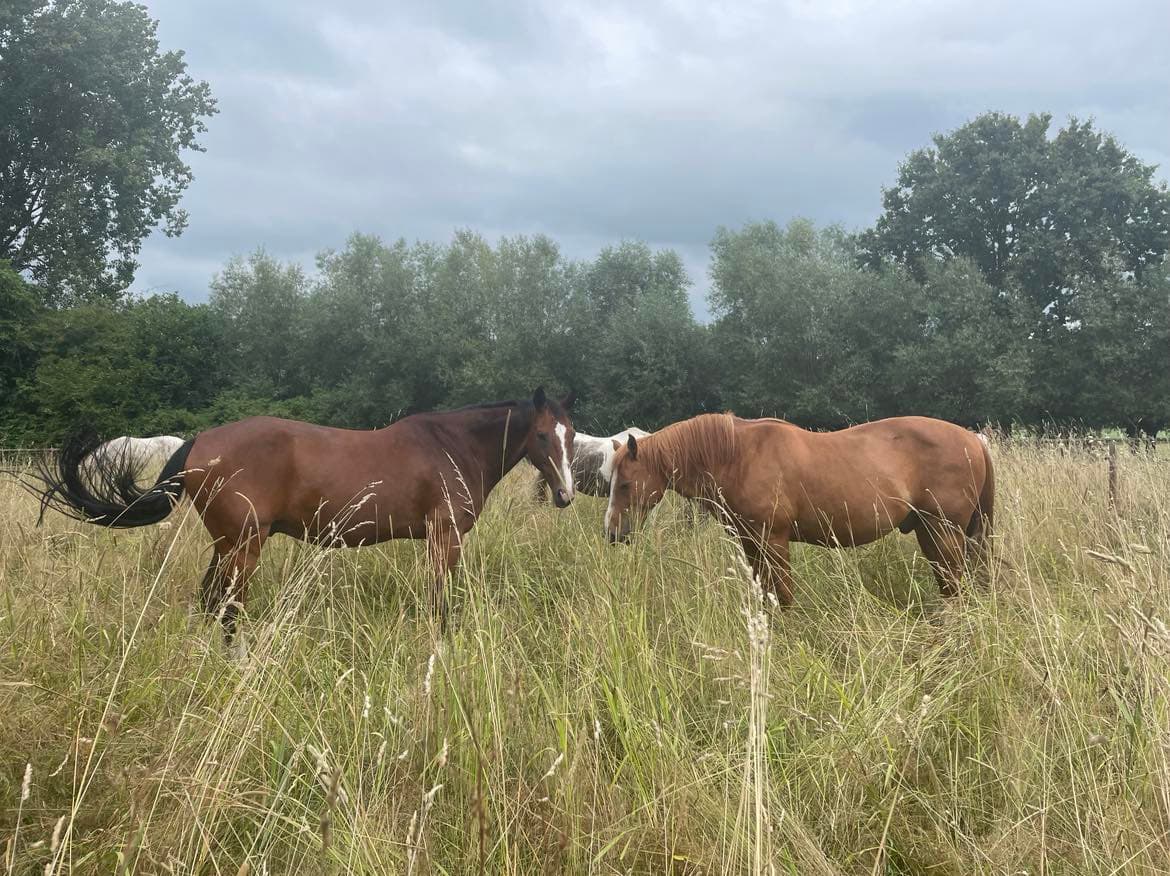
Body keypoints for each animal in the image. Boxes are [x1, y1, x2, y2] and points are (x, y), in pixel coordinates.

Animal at [29, 388, 576, 640]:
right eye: (542, 435)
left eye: (573, 435)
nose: (566, 495)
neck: (450, 446)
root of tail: (200, 443)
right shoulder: (445, 539)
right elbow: (441, 600)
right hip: (243, 547)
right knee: (228, 608)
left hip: (227, 546)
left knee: (210, 601)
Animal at [602, 413, 994, 602]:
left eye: (625, 485)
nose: (612, 533)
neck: (739, 457)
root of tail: (973, 440)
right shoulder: (752, 544)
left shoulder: (774, 541)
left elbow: (783, 594)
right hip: (932, 534)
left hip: (944, 534)